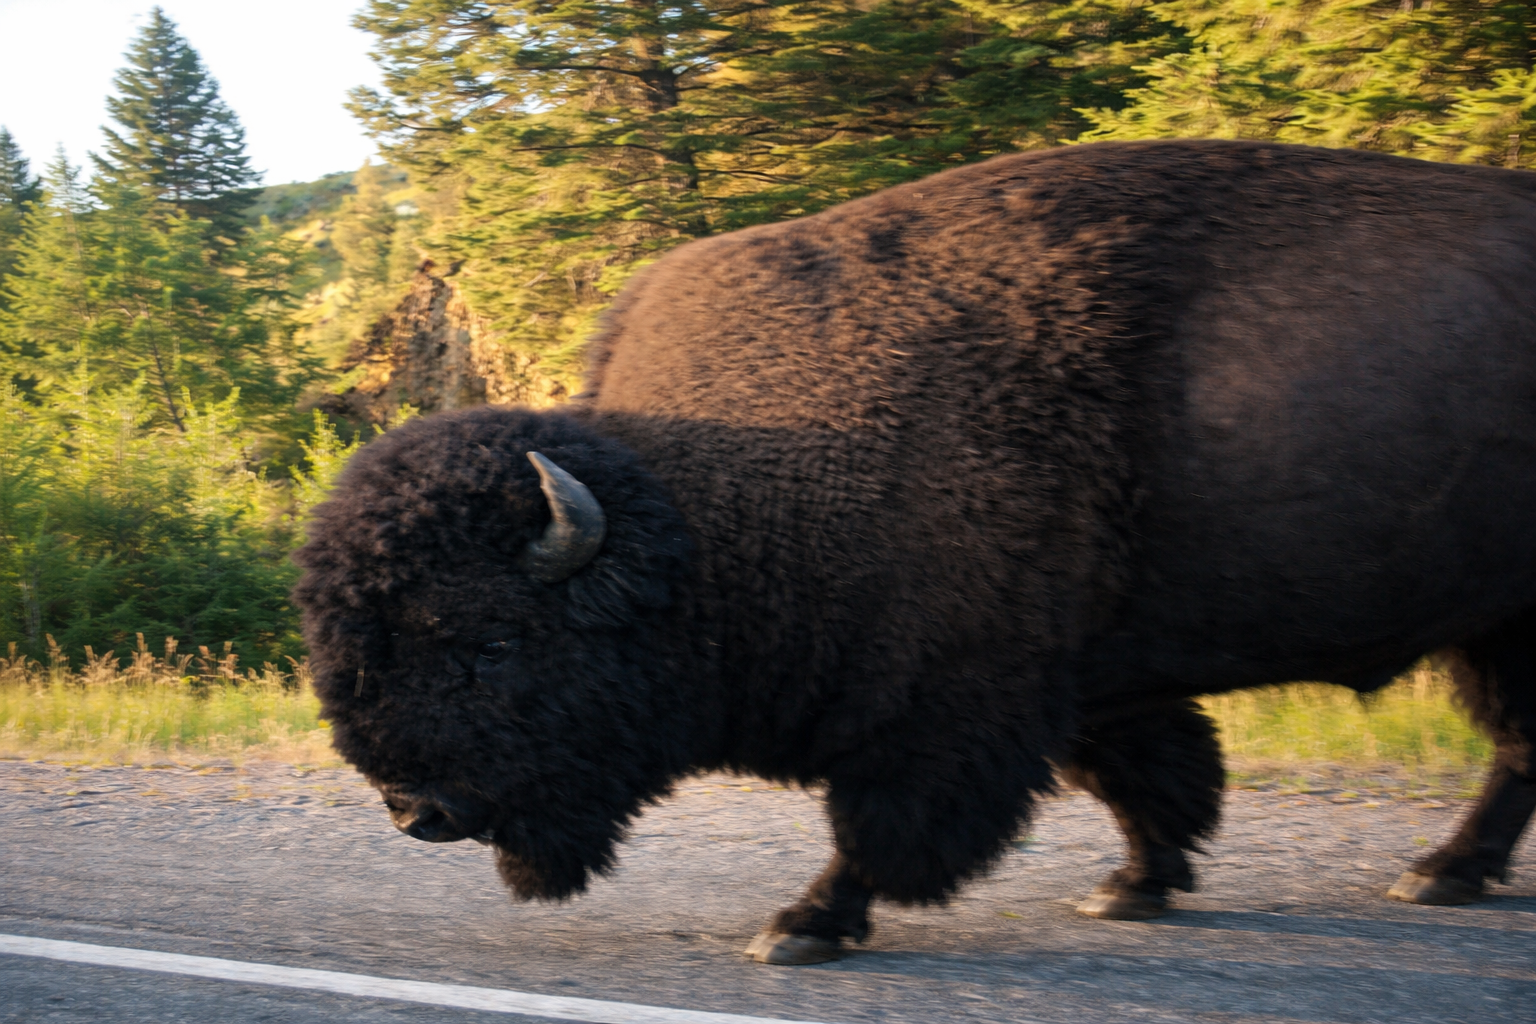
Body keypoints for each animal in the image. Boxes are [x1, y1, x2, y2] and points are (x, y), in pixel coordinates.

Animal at [293, 140, 1536, 965]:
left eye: (490, 642)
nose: (415, 809)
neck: (714, 511)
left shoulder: (947, 706)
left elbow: (881, 827)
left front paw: (801, 926)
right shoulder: (1082, 683)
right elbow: (1149, 778)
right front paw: (1134, 886)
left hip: (1510, 620)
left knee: (1516, 745)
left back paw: (1440, 873)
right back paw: (1443, 873)